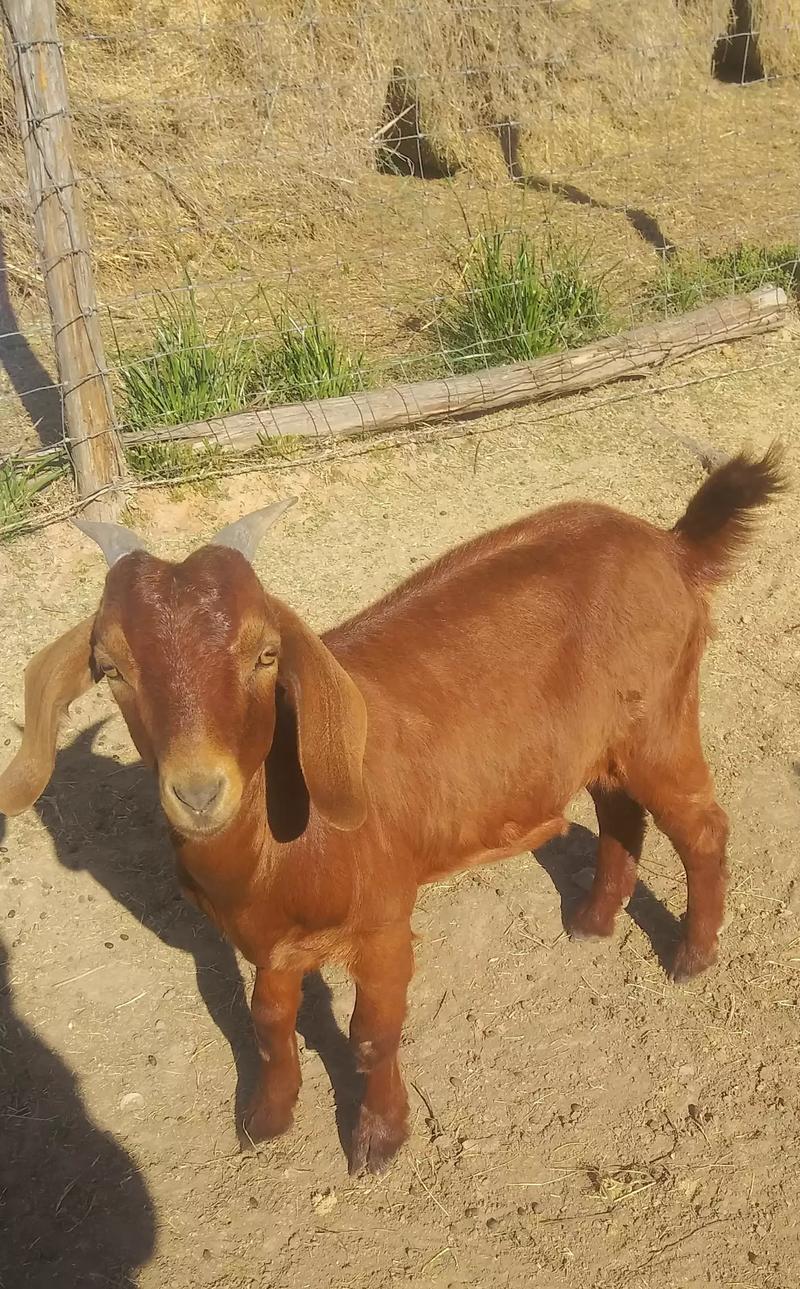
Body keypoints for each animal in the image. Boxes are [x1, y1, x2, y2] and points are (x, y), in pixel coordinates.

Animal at [0, 447, 785, 1174]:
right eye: (112, 668)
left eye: (264, 655)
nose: (198, 791)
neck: (275, 854)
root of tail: (671, 545)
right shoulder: (267, 942)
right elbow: (268, 1024)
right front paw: (267, 1117)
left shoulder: (383, 917)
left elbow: (372, 1033)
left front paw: (378, 1137)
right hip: (605, 742)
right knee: (620, 812)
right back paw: (593, 920)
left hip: (661, 725)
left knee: (702, 826)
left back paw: (692, 954)